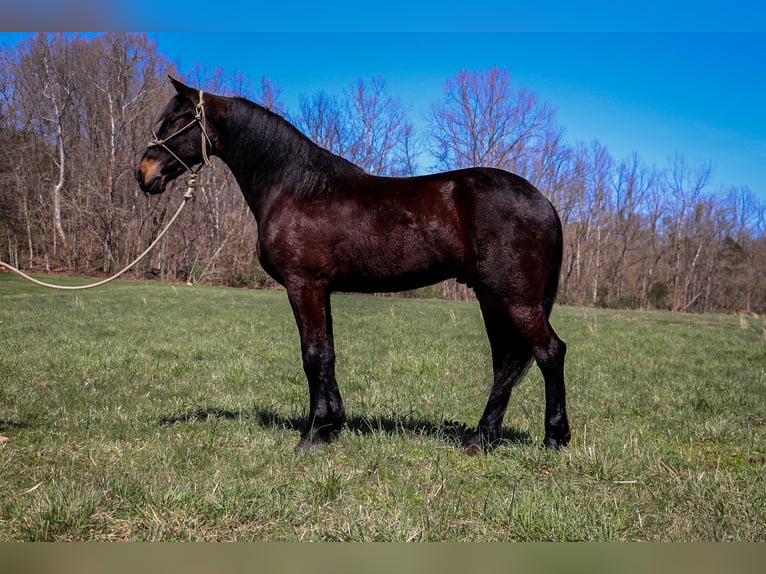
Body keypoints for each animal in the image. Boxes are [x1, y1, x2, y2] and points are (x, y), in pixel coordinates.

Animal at [136, 77, 568, 454]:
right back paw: (481, 438)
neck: (297, 187)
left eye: (175, 121)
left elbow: (312, 355)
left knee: (549, 352)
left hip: (515, 299)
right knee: (507, 362)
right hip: (491, 298)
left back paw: (554, 438)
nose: (144, 173)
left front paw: (313, 434)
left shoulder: (304, 285)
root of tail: (545, 203)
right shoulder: (319, 288)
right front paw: (330, 426)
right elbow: (326, 353)